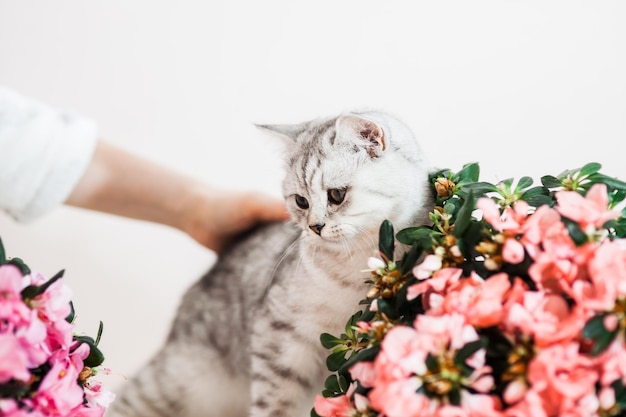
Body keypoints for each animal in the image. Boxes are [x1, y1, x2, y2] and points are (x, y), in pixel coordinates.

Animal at [106, 109, 428, 416]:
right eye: (301, 201)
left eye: (337, 195)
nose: (315, 227)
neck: (359, 262)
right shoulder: (278, 337)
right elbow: (273, 403)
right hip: (177, 382)